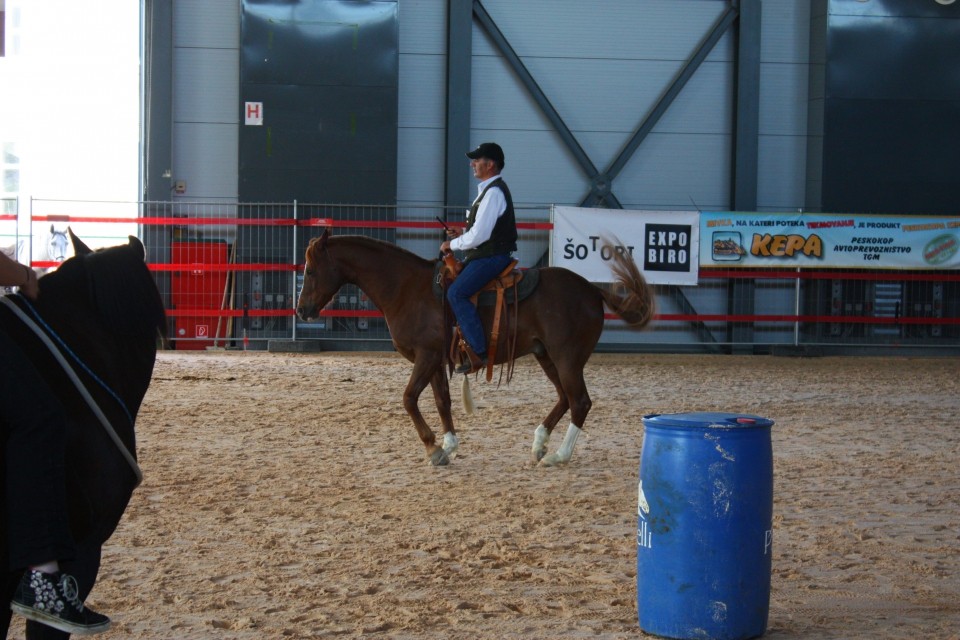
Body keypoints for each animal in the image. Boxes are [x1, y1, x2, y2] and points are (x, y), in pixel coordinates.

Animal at [296, 229, 656, 464]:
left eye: (311, 270)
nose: (301, 311)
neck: (405, 288)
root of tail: (592, 290)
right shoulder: (436, 360)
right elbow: (442, 402)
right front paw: (449, 445)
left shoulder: (426, 357)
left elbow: (409, 398)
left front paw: (433, 449)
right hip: (547, 356)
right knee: (565, 398)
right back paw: (539, 443)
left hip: (567, 358)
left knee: (580, 401)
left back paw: (558, 455)